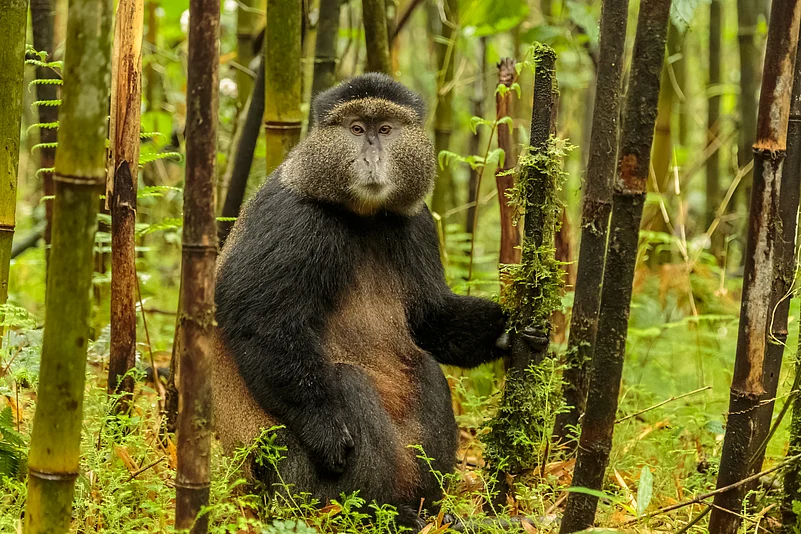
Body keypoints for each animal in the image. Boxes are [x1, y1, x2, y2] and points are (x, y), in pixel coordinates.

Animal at [211, 73, 540, 529]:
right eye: (355, 129)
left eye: (384, 129)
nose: (371, 155)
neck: (363, 217)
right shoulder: (292, 218)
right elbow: (260, 320)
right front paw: (326, 430)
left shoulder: (417, 221)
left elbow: (429, 319)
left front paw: (512, 332)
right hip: (287, 477)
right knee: (346, 381)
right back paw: (376, 512)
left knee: (425, 368)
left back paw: (433, 512)